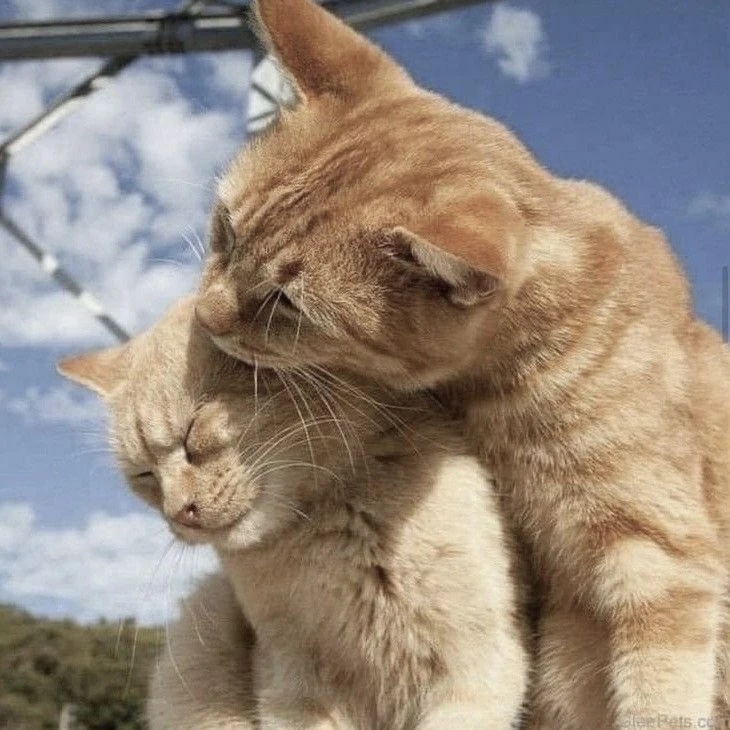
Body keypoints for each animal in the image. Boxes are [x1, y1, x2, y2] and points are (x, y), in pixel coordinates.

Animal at [58, 297, 529, 730]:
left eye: (192, 434)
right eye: (145, 476)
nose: (179, 513)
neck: (329, 533)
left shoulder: (478, 665)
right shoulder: (292, 689)